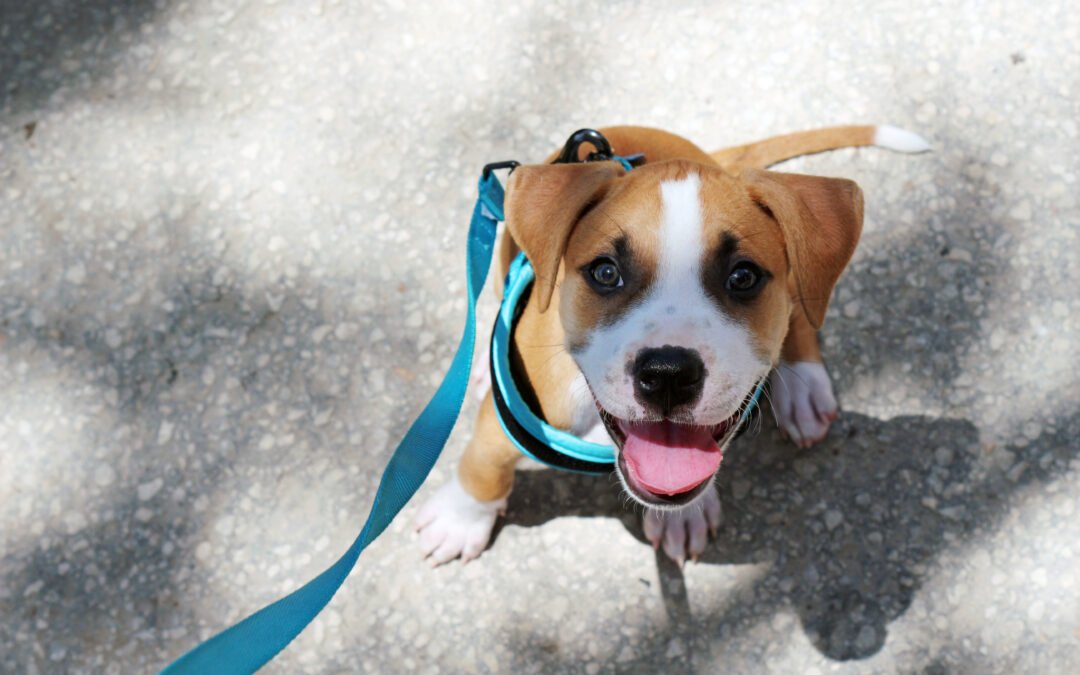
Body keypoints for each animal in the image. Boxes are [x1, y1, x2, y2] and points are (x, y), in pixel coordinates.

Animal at [412, 122, 928, 561]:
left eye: (743, 277)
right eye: (605, 273)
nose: (667, 374)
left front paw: (684, 516)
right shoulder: (503, 421)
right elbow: (483, 464)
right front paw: (460, 518)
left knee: (804, 310)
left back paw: (803, 388)